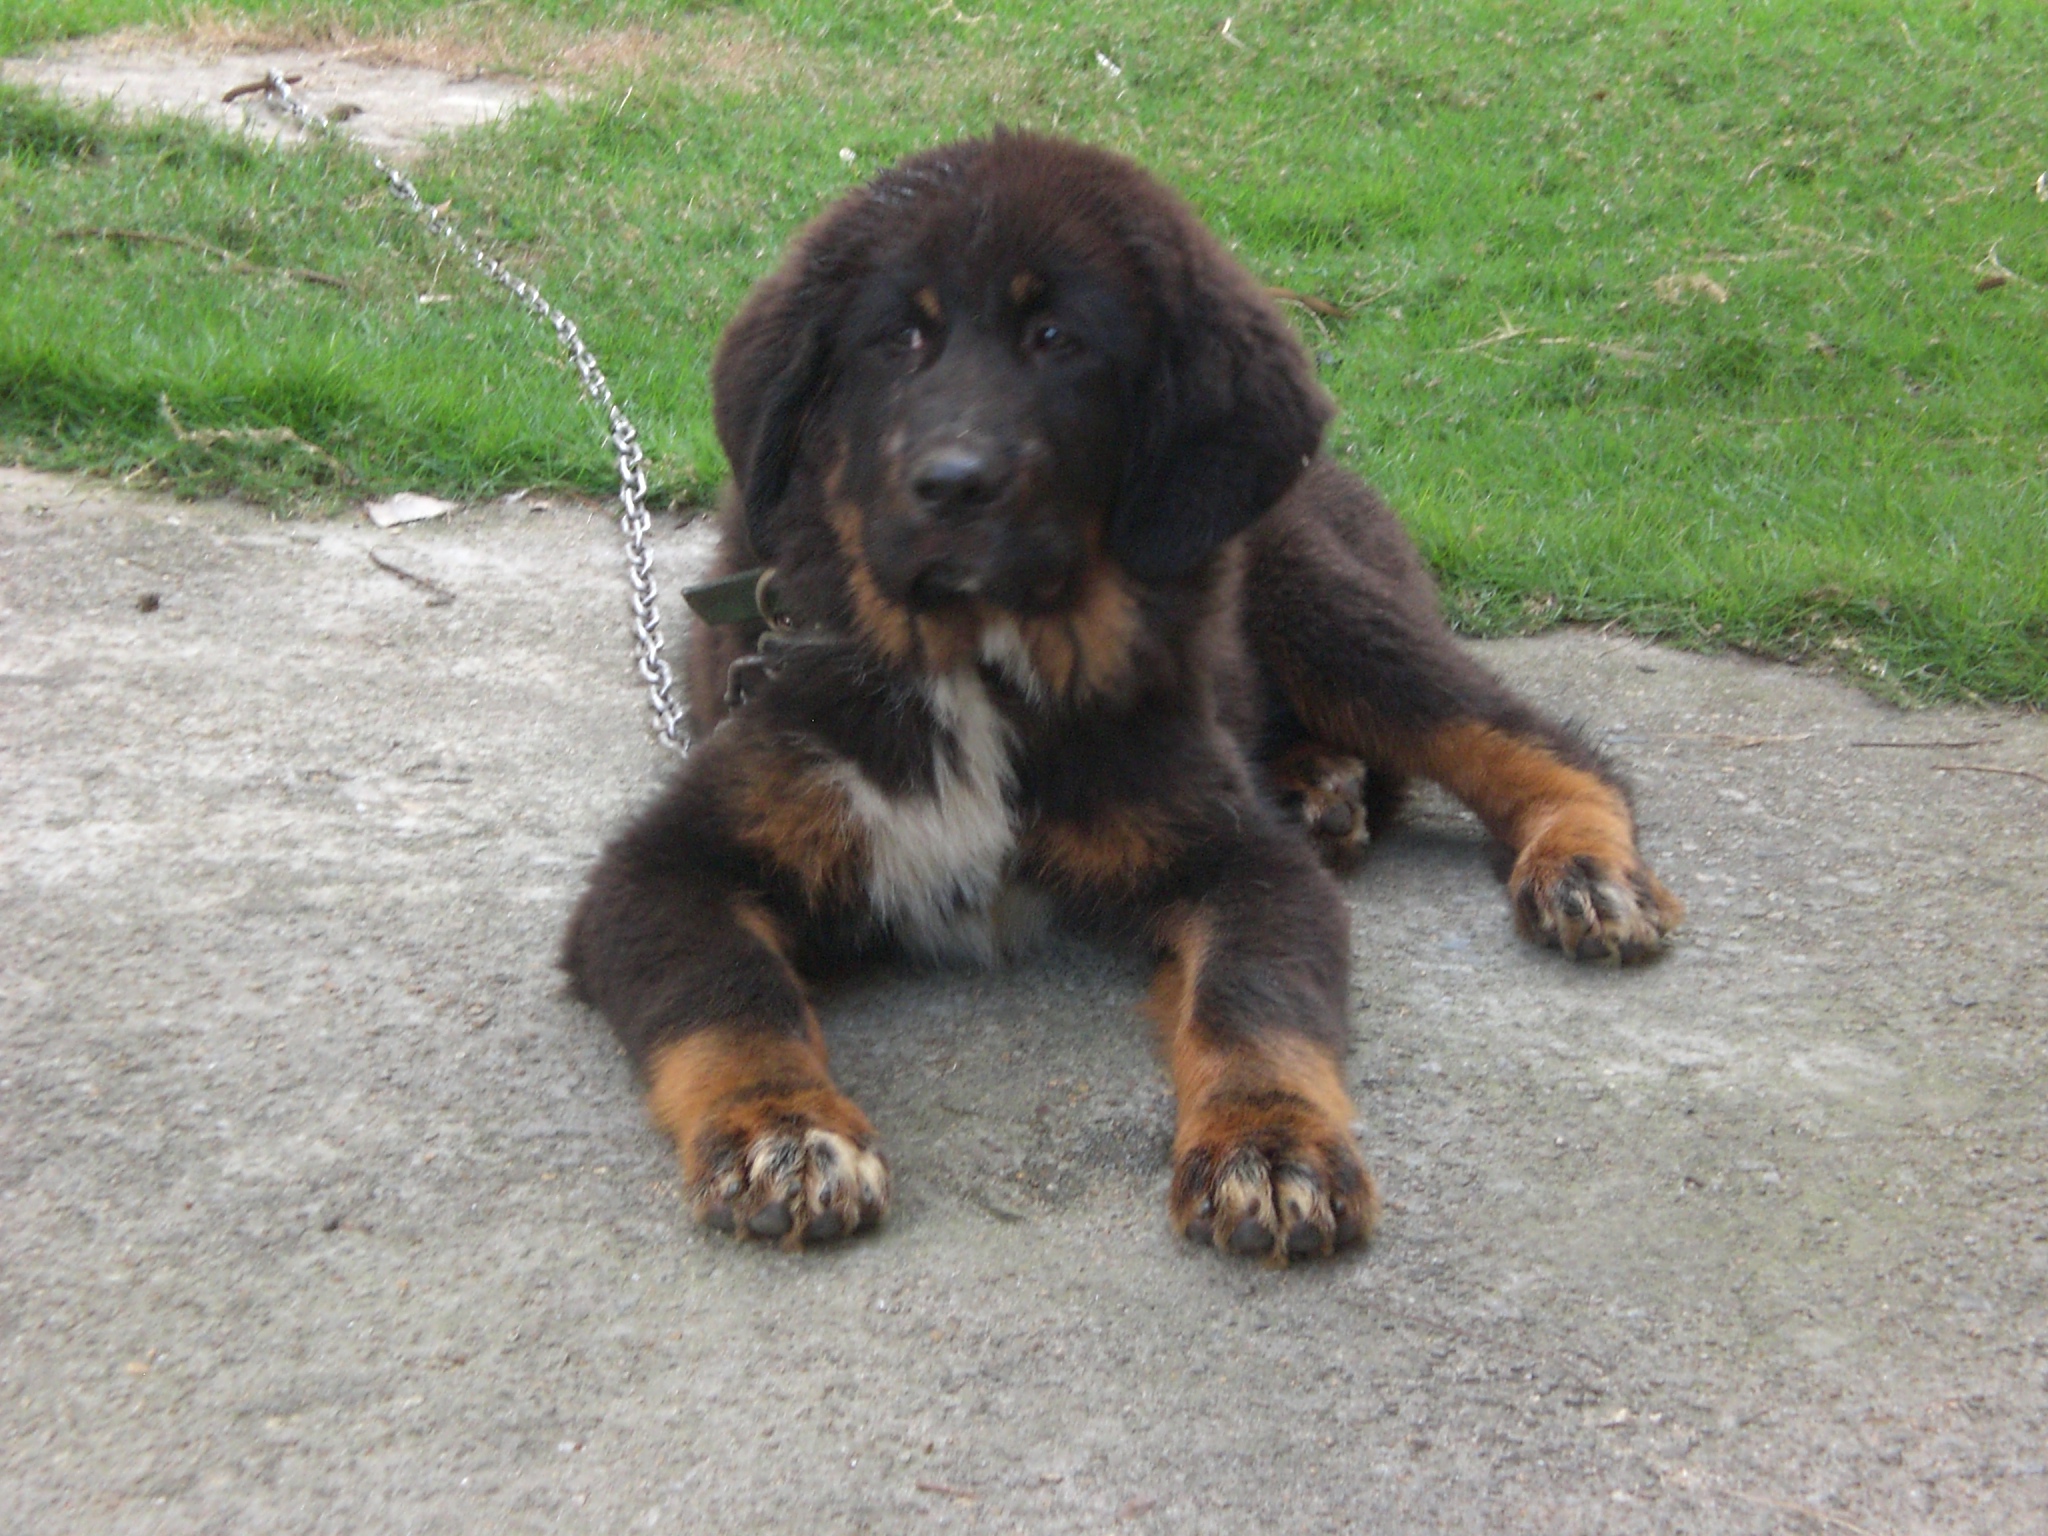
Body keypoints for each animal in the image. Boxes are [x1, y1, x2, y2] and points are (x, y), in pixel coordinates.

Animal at [562, 132, 1682, 1263]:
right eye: (899, 338)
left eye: (1058, 339)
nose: (950, 485)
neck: (979, 667)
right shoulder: (669, 862)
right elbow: (728, 998)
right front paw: (783, 1134)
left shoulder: (1241, 861)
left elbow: (1253, 1000)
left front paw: (1268, 1147)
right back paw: (1321, 788)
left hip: (1321, 608)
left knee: (1536, 742)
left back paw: (1582, 871)